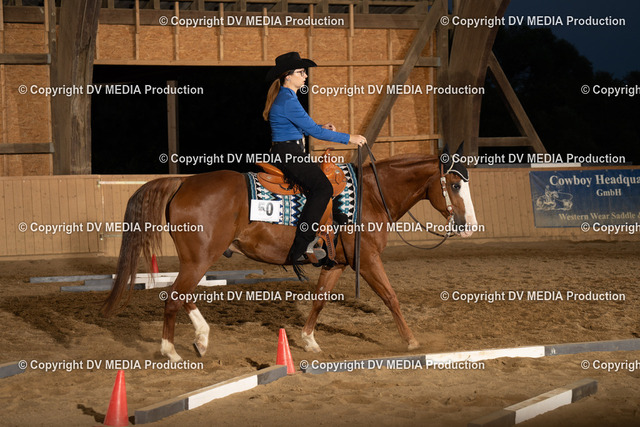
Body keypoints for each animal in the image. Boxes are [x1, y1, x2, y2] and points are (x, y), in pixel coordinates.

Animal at [101, 144, 478, 362]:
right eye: (455, 184)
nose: (469, 225)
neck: (370, 196)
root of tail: (183, 182)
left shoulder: (337, 263)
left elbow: (320, 299)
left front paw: (309, 341)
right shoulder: (367, 260)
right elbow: (390, 297)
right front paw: (411, 341)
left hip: (197, 260)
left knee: (180, 295)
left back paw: (202, 339)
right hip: (200, 259)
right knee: (173, 296)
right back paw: (171, 351)